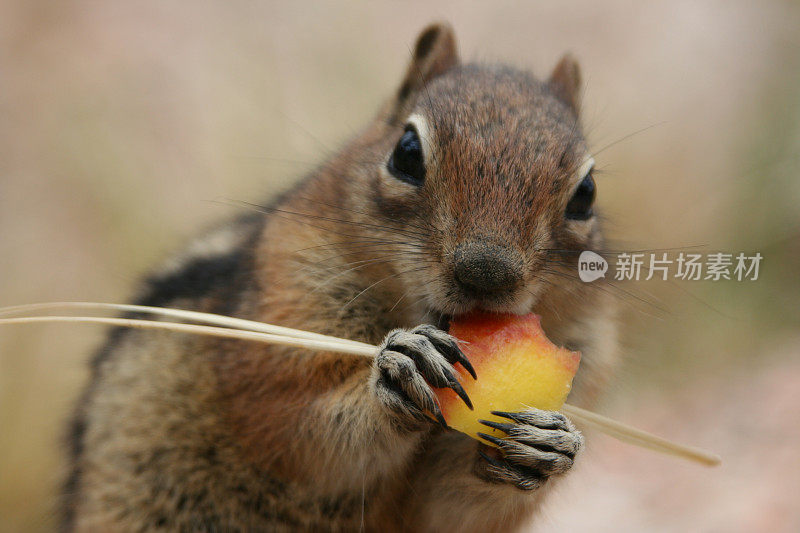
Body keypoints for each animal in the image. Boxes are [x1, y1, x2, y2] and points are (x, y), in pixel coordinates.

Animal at [64, 22, 620, 528]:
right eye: (406, 153)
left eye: (587, 193)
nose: (486, 273)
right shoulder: (279, 324)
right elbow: (297, 429)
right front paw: (401, 369)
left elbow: (452, 509)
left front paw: (552, 443)